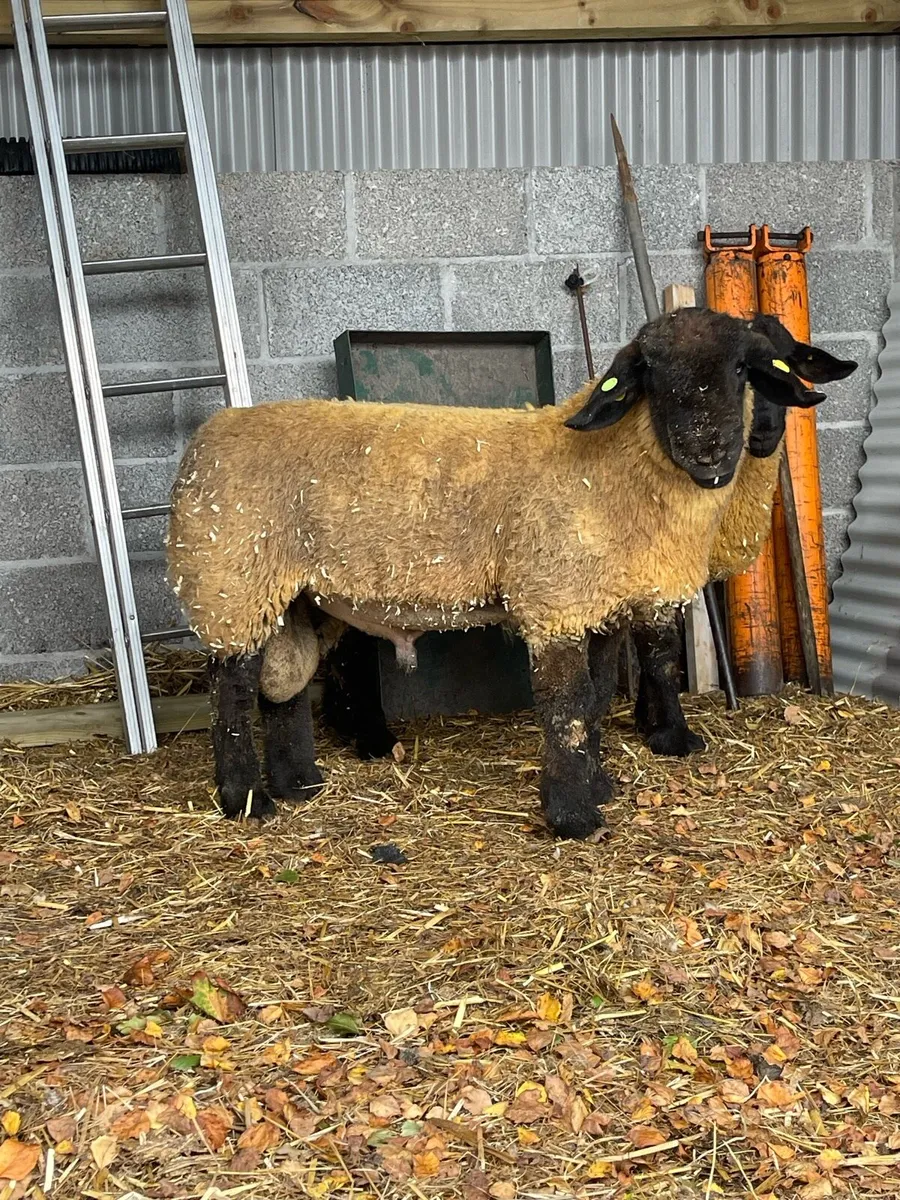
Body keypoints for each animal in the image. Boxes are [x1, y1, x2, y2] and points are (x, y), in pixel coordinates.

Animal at [167, 307, 833, 839]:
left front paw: (598, 784)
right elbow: (567, 704)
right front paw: (574, 815)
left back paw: (298, 782)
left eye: (744, 369)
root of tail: (203, 442)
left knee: (282, 685)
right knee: (232, 693)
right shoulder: (555, 597)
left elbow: (596, 697)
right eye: (652, 372)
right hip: (228, 580)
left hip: (292, 594)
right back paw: (246, 800)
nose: (710, 449)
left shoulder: (601, 604)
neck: (603, 471)